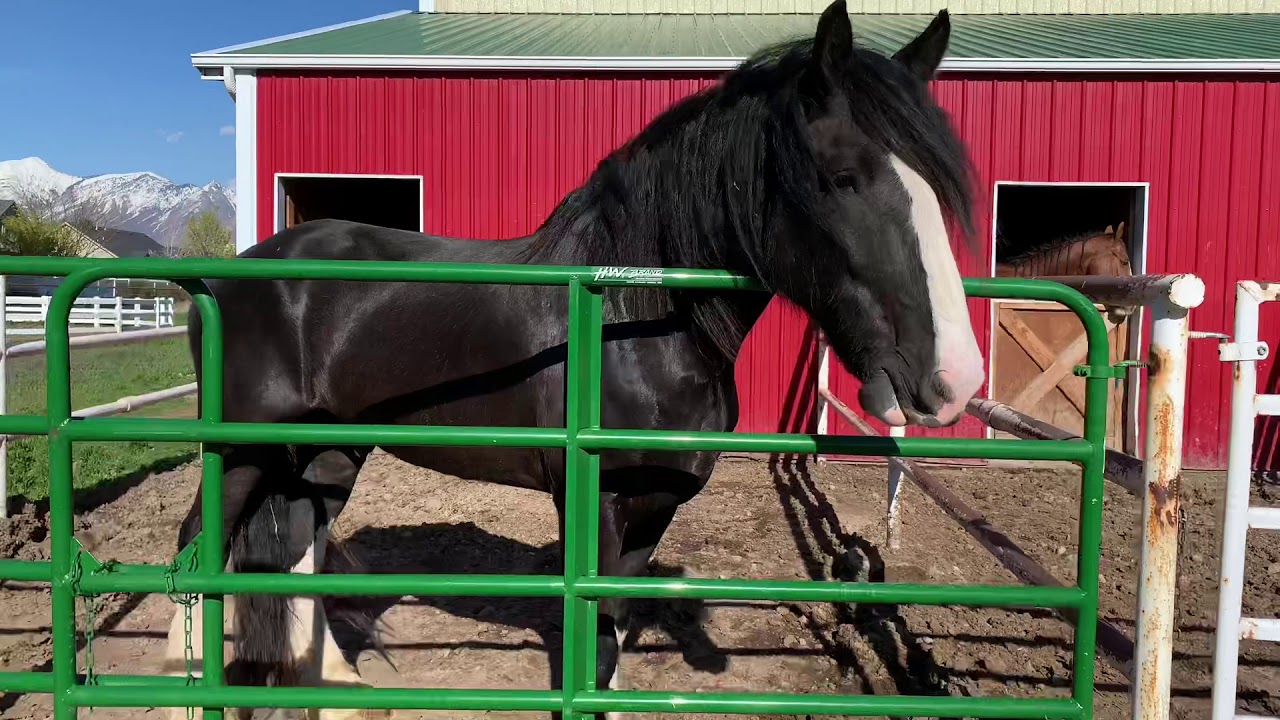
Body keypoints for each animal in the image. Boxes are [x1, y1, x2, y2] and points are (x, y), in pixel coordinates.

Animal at [163, 2, 985, 717]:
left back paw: (335, 688)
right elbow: (592, 641)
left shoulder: (653, 511)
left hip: (330, 447)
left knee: (301, 544)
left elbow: (612, 630)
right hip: (242, 445)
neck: (636, 318)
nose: (954, 380)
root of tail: (236, 271)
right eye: (842, 177)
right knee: (197, 546)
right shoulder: (597, 506)